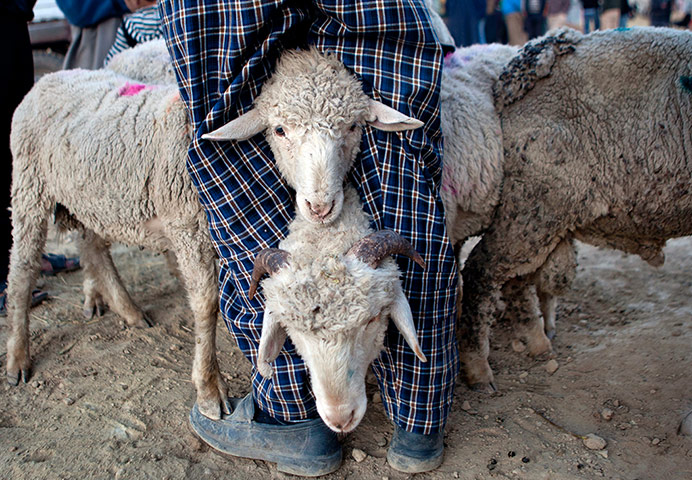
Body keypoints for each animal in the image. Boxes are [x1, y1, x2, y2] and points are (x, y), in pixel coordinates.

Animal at [6, 68, 230, 421]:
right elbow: (207, 304)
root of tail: (50, 76)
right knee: (23, 268)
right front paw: (209, 389)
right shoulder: (189, 222)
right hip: (31, 184)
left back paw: (128, 310)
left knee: (92, 249)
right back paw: (18, 358)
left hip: (89, 199)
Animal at [458, 26, 692, 391]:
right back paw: (478, 369)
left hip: (537, 212)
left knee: (515, 279)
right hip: (535, 205)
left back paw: (537, 341)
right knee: (481, 271)